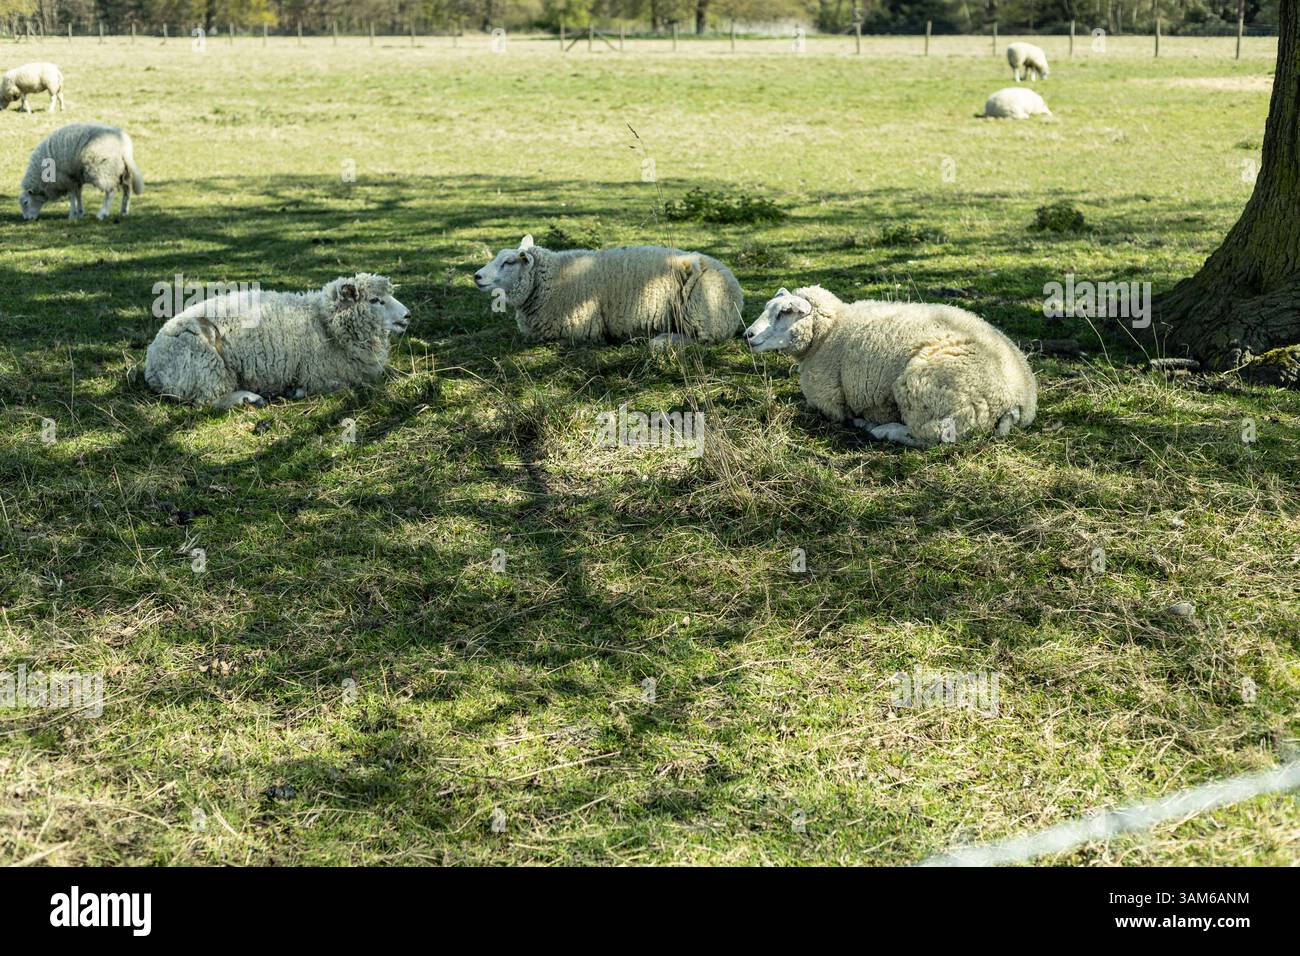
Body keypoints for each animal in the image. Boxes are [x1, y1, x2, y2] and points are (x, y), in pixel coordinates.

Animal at [144, 274, 411, 409]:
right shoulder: (319, 374)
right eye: (375, 300)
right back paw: (249, 398)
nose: (408, 315)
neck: (324, 321)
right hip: (206, 366)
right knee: (208, 402)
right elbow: (337, 386)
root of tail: (151, 366)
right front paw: (296, 391)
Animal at [473, 235, 743, 347]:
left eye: (508, 262)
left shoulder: (580, 330)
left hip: (699, 315)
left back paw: (660, 341)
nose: (476, 276)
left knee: (699, 339)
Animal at [743, 286, 1037, 448]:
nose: (748, 335)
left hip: (926, 391)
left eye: (784, 313)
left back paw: (880, 429)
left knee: (931, 437)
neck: (830, 331)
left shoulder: (828, 400)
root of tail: (1017, 400)